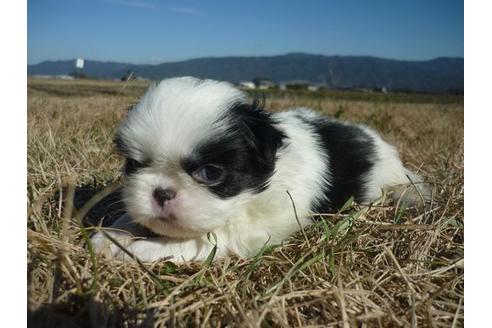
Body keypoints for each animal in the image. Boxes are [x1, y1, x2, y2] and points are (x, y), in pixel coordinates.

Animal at [90, 76, 428, 262]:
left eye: (211, 173)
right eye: (135, 164)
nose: (161, 192)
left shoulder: (257, 229)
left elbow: (209, 238)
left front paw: (146, 249)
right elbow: (133, 218)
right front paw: (111, 234)